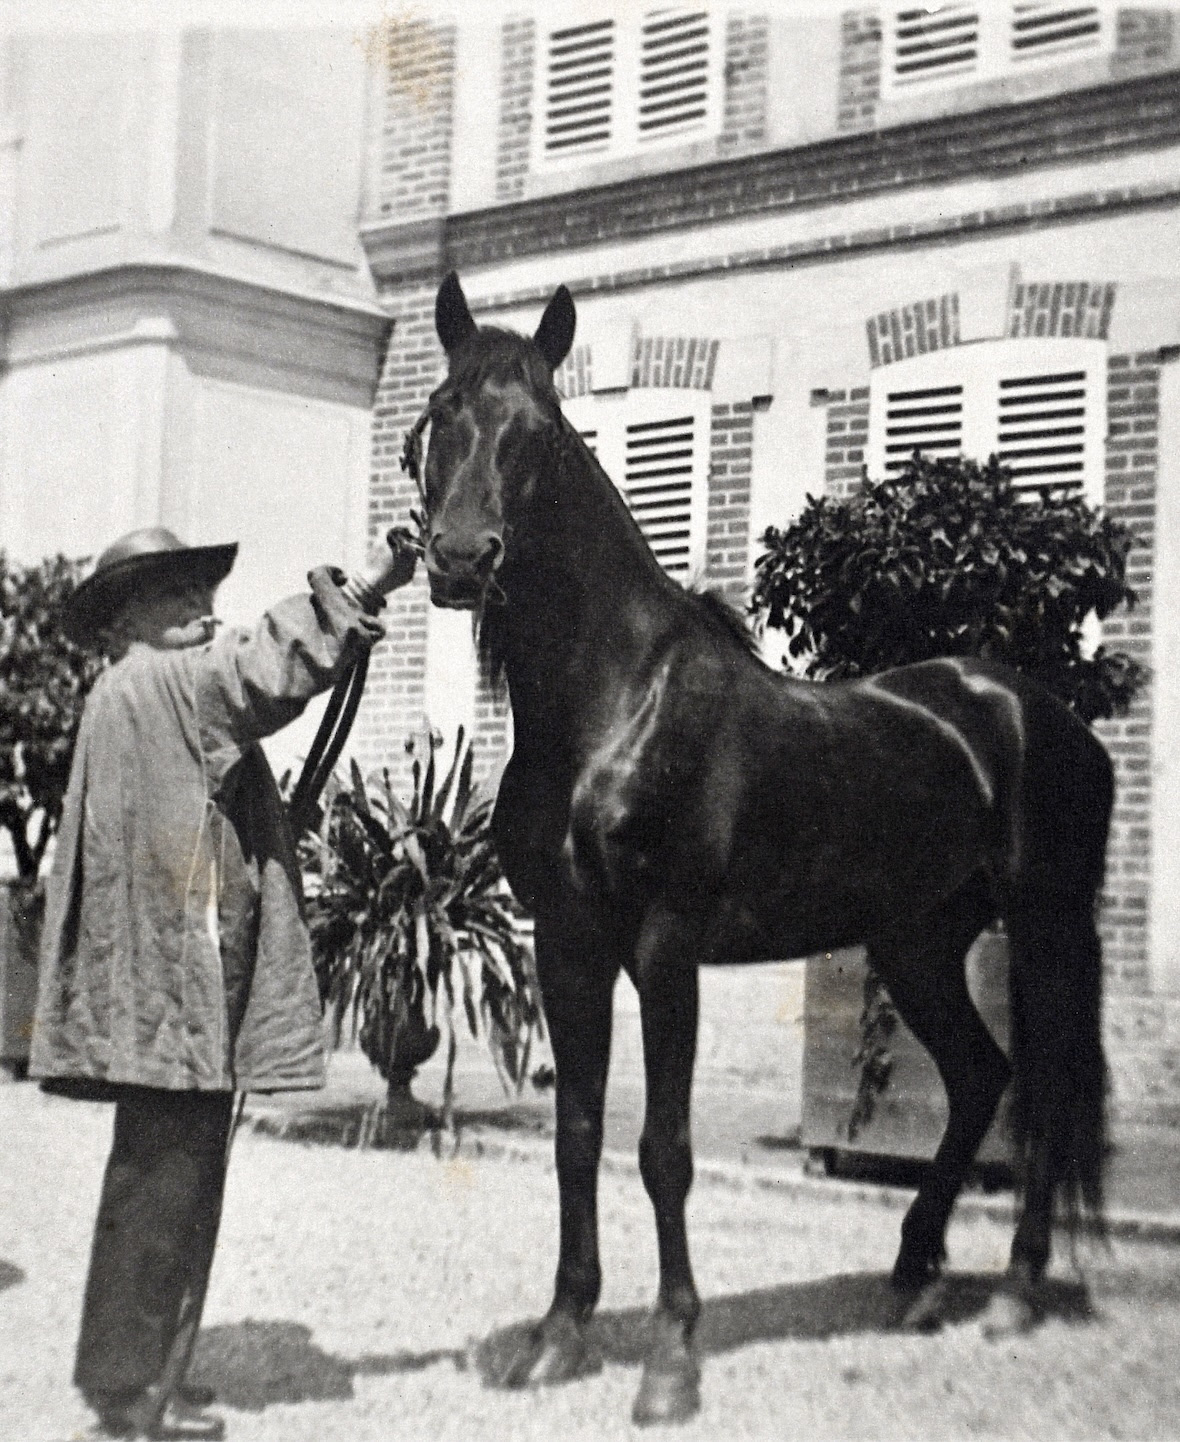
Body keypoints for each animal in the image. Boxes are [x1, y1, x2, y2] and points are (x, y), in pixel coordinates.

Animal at [411, 270, 1112, 1426]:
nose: (464, 560)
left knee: (1041, 1088)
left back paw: (1012, 1291)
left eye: (540, 432)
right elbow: (576, 1134)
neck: (614, 704)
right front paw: (559, 1337)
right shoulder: (568, 943)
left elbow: (662, 1148)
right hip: (914, 942)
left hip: (1045, 925)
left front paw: (669, 1360)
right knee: (979, 1076)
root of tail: (1033, 710)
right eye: (438, 418)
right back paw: (914, 1277)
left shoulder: (664, 945)